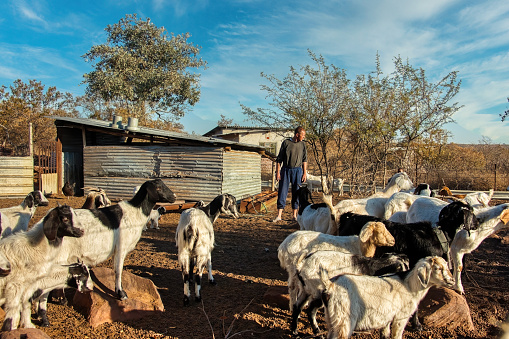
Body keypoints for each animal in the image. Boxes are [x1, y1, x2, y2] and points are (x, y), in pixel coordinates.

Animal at [318, 258, 452, 339]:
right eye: (438, 268)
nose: (452, 280)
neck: (409, 285)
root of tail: (331, 285)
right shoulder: (400, 317)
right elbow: (397, 335)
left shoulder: (387, 317)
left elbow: (385, 334)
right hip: (344, 320)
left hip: (332, 319)